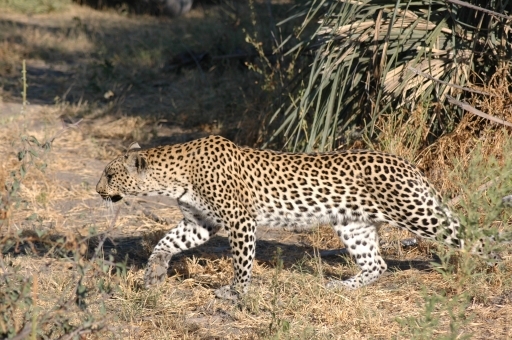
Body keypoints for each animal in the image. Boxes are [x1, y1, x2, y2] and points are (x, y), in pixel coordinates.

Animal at [97, 134, 500, 298]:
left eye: (110, 175)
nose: (98, 191)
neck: (174, 177)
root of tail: (407, 163)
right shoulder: (200, 222)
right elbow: (166, 243)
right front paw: (153, 274)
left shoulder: (240, 220)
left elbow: (241, 261)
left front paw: (235, 292)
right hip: (353, 224)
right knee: (377, 265)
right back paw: (341, 287)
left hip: (417, 212)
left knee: (471, 236)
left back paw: (497, 266)